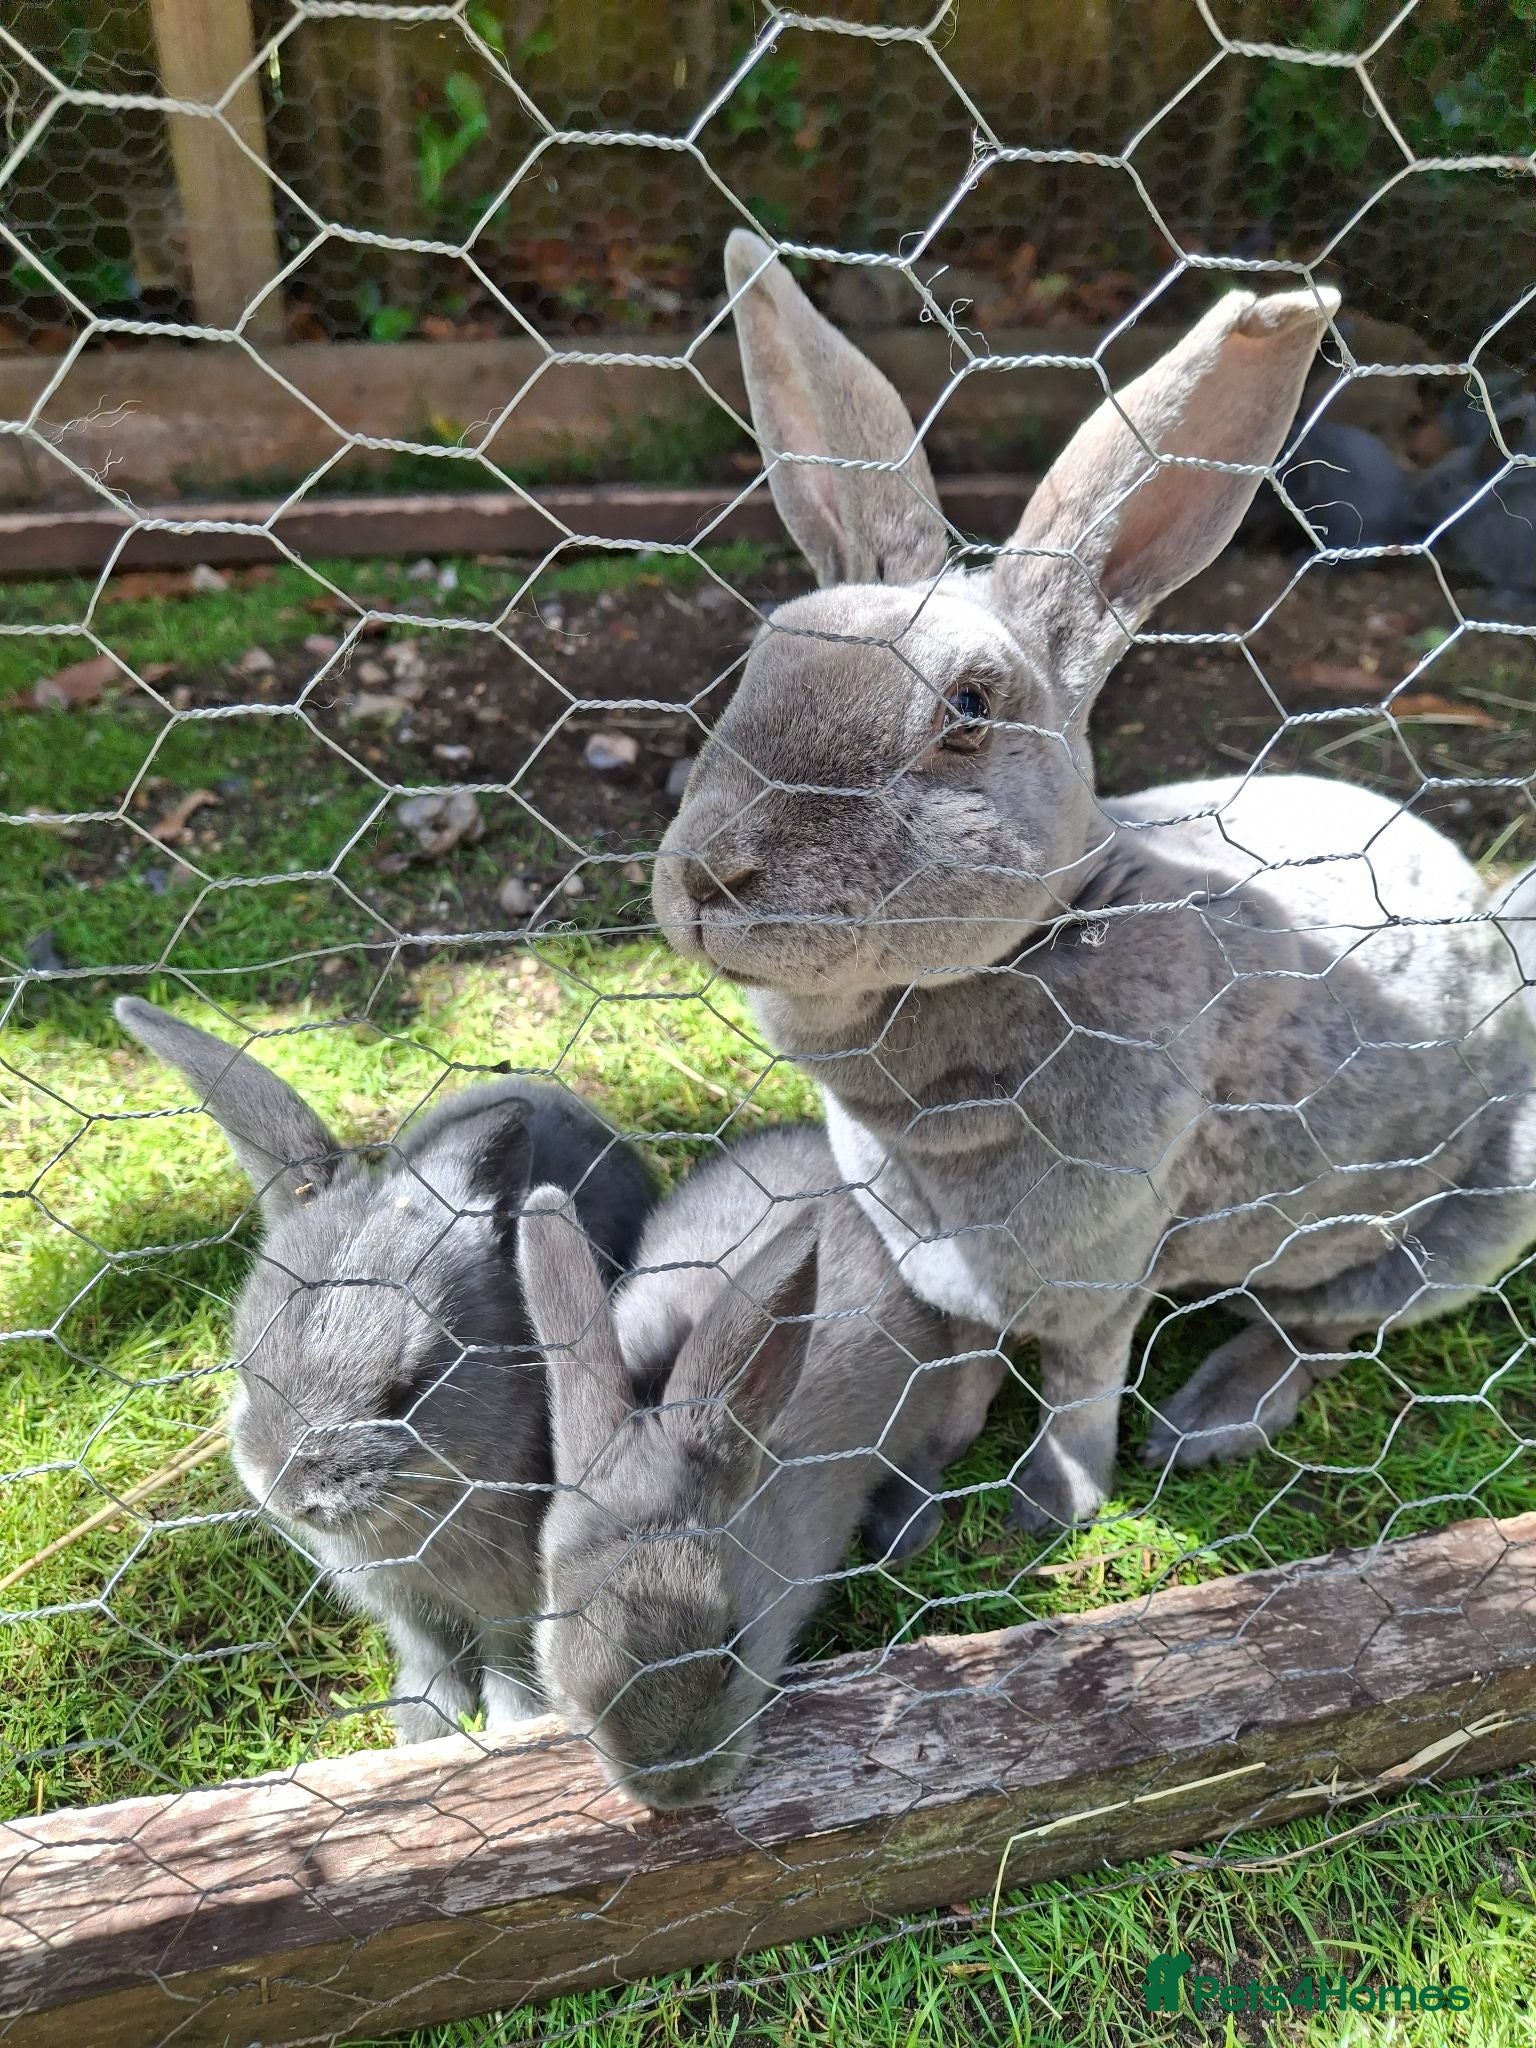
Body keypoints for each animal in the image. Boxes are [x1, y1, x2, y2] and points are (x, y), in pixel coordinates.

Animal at [114, 995, 653, 1743]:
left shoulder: (513, 1602)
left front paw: (508, 1730)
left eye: (406, 1391)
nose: (289, 1495)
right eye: (248, 1365)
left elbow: (509, 1662)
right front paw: (425, 1727)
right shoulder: (404, 1606)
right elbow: (429, 1655)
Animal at [651, 231, 1536, 1535]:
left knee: (1320, 1324)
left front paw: (1050, 1503)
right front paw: (905, 1500)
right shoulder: (945, 1270)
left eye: (968, 710)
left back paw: (1212, 1417)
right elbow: (962, 1373)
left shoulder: (1104, 1261)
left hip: (1439, 1229)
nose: (711, 873)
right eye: (758, 660)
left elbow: (1077, 1380)